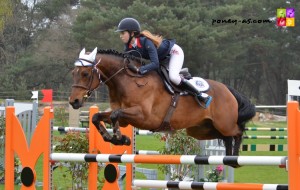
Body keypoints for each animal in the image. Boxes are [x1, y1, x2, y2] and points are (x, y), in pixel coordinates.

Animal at [68, 47, 255, 156]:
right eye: (73, 73)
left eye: (85, 74)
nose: (73, 101)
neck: (128, 81)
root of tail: (228, 89)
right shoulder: (125, 118)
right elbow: (97, 117)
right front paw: (114, 138)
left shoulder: (145, 117)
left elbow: (115, 114)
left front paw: (121, 139)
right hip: (201, 130)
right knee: (226, 138)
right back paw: (229, 157)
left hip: (224, 124)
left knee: (237, 132)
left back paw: (234, 159)